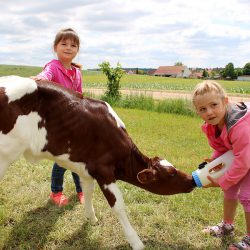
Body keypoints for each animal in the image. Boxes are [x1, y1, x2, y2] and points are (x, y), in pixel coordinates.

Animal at [0, 76, 195, 250]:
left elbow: (88, 192)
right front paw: (136, 242)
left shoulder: (87, 170)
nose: (191, 180)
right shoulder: (104, 172)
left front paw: (91, 219)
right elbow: (118, 205)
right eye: (171, 173)